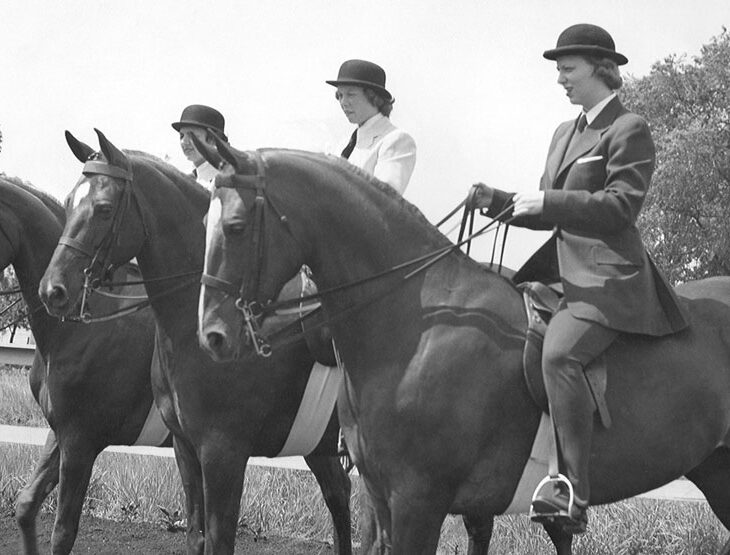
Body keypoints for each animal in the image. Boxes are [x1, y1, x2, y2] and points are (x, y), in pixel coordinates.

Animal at [39, 131, 352, 555]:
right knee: (340, 495)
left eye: (103, 208)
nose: (52, 290)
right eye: (70, 201)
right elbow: (196, 535)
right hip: (319, 445)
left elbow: (220, 539)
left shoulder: (223, 453)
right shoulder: (186, 449)